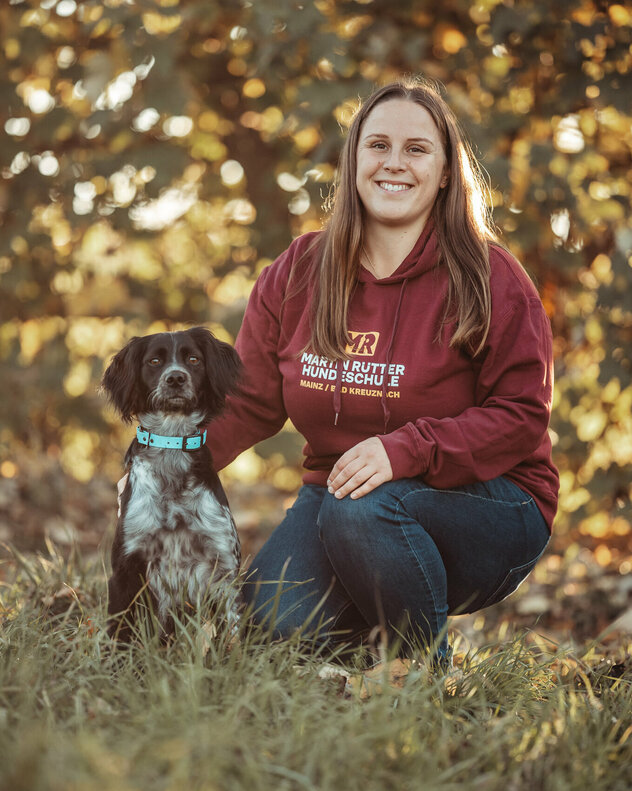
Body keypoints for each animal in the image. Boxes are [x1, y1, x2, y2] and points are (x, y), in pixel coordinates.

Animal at [102, 324, 243, 640]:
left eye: (193, 360)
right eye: (154, 361)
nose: (176, 378)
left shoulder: (223, 568)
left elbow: (232, 637)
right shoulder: (125, 569)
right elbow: (120, 634)